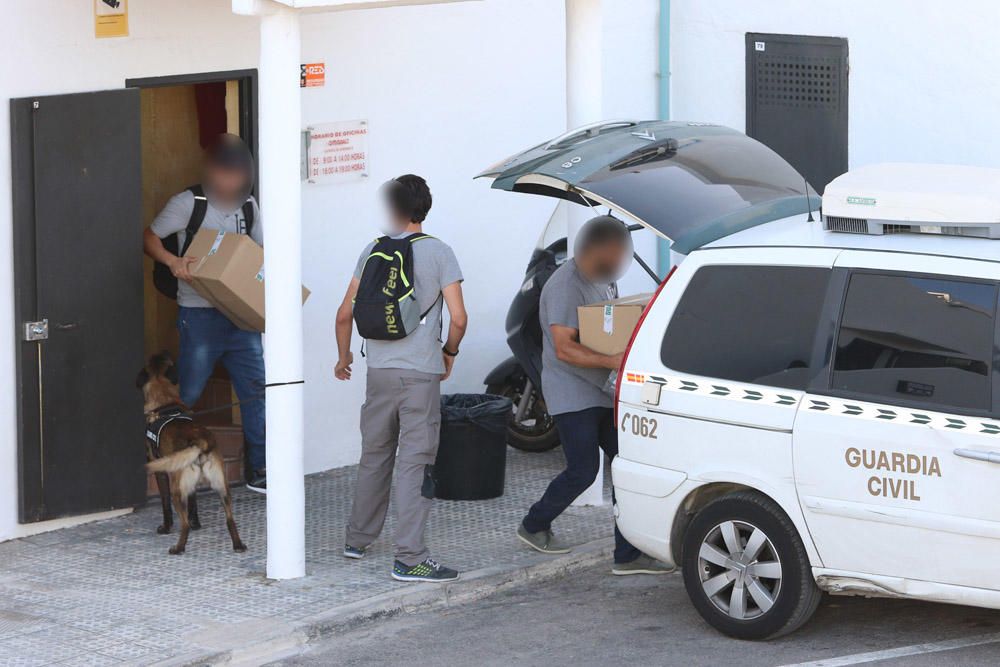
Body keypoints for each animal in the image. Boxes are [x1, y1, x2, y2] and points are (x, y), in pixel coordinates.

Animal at [136, 354, 245, 560]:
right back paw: (238, 544)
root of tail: (201, 442)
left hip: (177, 490)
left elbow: (165, 504)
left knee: (183, 523)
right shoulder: (192, 486)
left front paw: (166, 527)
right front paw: (197, 523)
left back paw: (178, 548)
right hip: (222, 487)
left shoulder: (161, 473)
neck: (165, 403)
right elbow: (194, 504)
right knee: (230, 519)